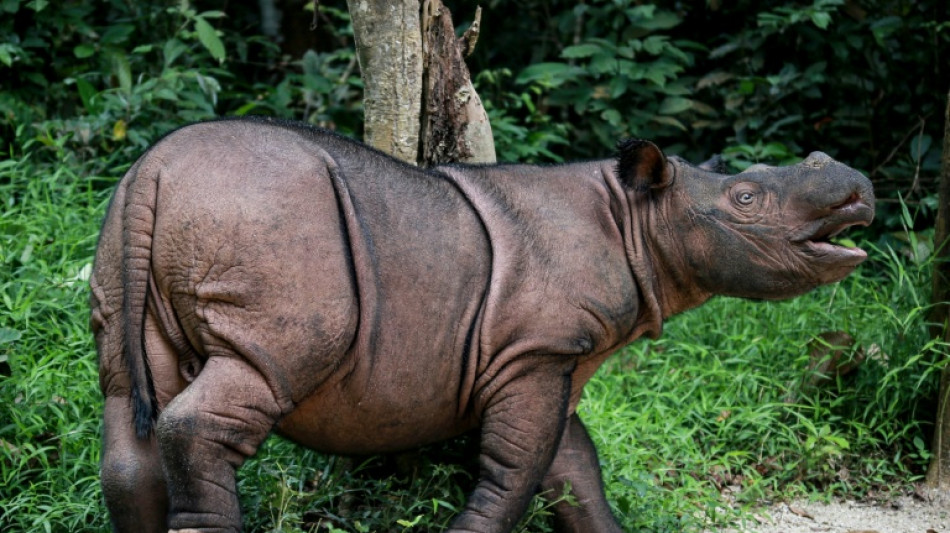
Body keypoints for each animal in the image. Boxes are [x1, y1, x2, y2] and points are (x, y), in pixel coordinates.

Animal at [90, 117, 874, 533]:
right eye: (745, 198)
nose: (857, 187)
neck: (637, 218)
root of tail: (156, 169)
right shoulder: (537, 350)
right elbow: (517, 466)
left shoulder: (552, 355)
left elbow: (574, 465)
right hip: (268, 226)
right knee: (241, 385)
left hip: (129, 225)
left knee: (129, 399)